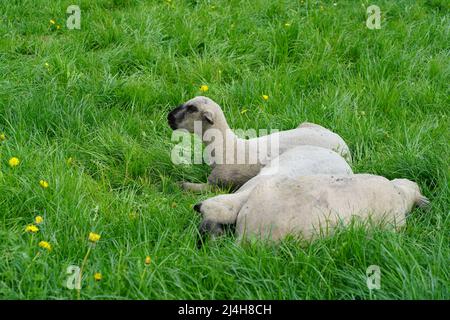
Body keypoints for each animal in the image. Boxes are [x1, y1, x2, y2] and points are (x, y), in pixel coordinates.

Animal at [169, 96, 352, 191]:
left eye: (192, 109)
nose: (168, 117)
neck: (226, 145)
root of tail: (342, 143)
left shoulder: (218, 185)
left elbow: (190, 186)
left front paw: (177, 184)